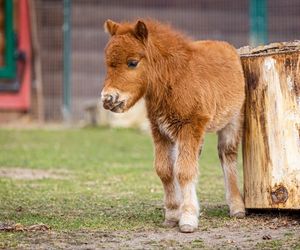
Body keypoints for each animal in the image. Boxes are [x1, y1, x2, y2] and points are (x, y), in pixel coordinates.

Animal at [99, 19, 245, 232]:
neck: (174, 80)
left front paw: (188, 218)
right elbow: (165, 170)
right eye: (108, 64)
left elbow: (184, 171)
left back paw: (236, 207)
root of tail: (228, 47)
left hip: (231, 121)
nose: (108, 99)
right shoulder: (159, 130)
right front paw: (173, 214)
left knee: (227, 155)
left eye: (132, 62)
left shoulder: (190, 127)